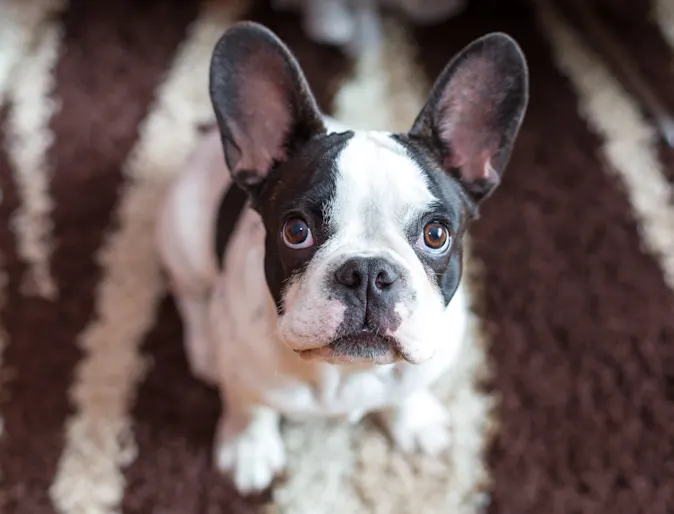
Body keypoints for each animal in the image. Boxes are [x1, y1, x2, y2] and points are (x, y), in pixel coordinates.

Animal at [155, 21, 528, 492]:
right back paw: (204, 347)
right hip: (184, 236)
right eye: (296, 231)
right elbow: (249, 403)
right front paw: (249, 448)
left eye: (436, 234)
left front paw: (414, 420)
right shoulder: (241, 367)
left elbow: (407, 390)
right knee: (188, 291)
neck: (349, 373)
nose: (367, 272)